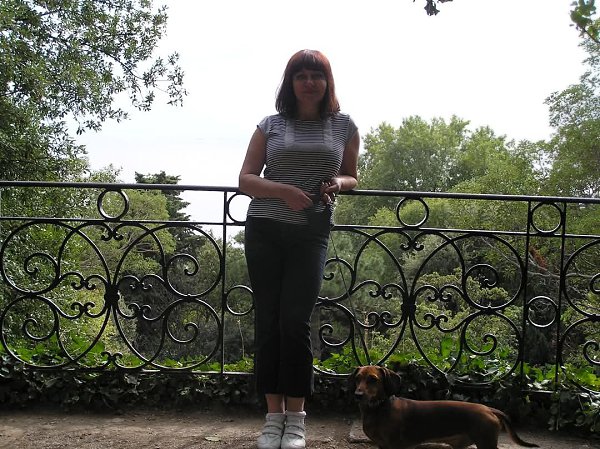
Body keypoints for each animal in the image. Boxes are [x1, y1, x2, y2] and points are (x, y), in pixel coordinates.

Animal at [349, 365, 539, 449]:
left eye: (373, 379)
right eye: (357, 378)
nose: (357, 395)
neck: (378, 409)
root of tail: (488, 409)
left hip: (486, 443)